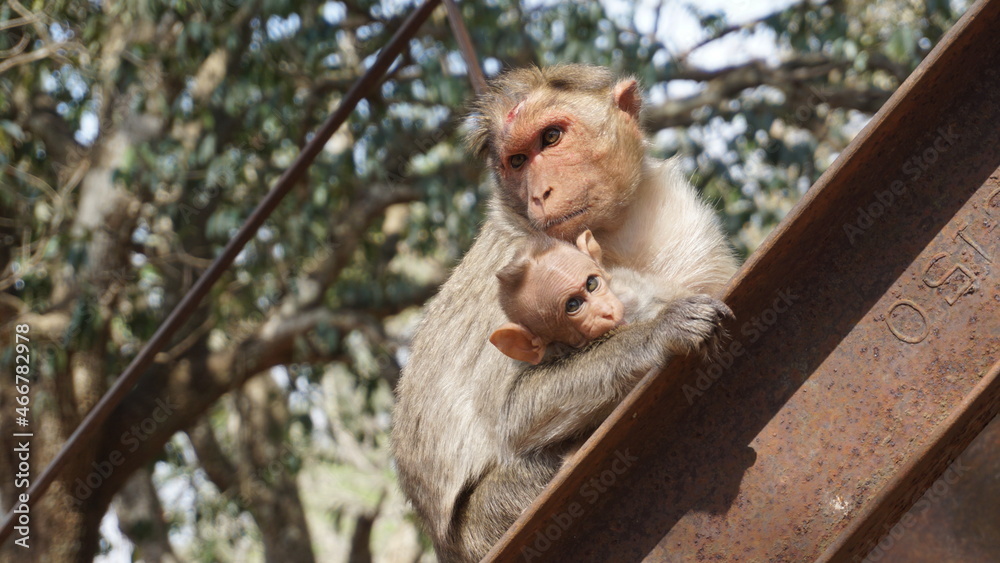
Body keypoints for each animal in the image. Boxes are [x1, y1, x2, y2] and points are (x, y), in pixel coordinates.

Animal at [391, 64, 739, 562]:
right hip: (491, 519)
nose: (540, 194)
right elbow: (516, 412)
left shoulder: (683, 225)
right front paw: (662, 331)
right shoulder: (513, 266)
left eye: (551, 138)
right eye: (517, 161)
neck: (611, 234)